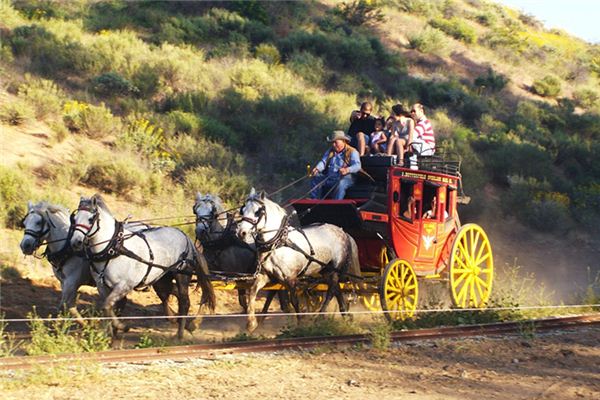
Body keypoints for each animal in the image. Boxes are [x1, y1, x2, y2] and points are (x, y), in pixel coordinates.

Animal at [70, 194, 216, 338]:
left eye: (90, 219)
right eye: (74, 218)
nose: (76, 242)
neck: (114, 248)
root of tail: (186, 237)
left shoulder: (124, 285)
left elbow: (108, 306)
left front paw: (122, 326)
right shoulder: (102, 286)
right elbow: (108, 308)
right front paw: (109, 333)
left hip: (182, 275)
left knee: (184, 302)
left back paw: (180, 334)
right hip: (162, 279)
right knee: (171, 292)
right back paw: (186, 324)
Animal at [237, 189, 360, 332]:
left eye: (258, 211)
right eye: (243, 210)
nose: (242, 233)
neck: (279, 243)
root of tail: (343, 231)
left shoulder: (291, 279)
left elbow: (294, 300)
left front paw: (300, 323)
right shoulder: (266, 276)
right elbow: (252, 292)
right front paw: (251, 323)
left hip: (334, 268)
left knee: (331, 291)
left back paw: (319, 317)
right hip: (325, 270)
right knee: (336, 288)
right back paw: (346, 314)